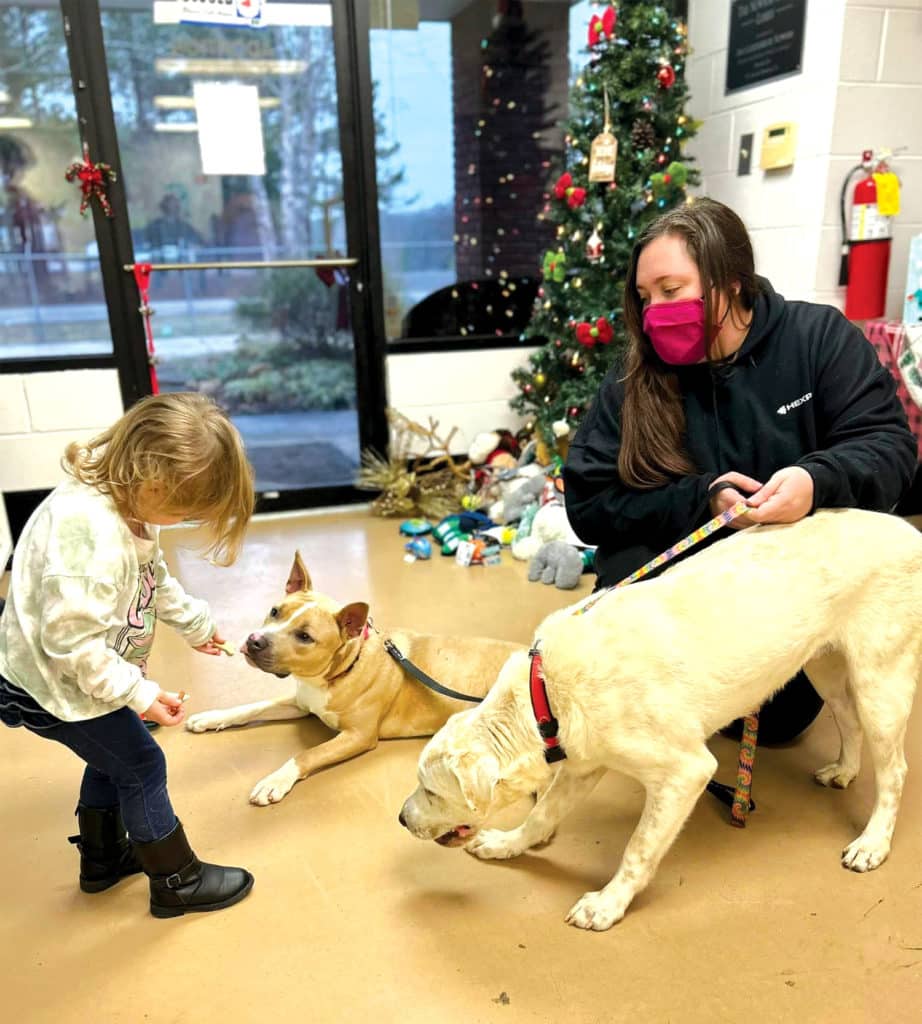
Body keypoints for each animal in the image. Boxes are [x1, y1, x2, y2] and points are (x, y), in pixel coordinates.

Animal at [185, 557, 524, 802]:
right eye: (275, 611)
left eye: (305, 636)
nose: (254, 641)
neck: (338, 672)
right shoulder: (301, 702)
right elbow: (252, 707)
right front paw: (212, 717)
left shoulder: (358, 736)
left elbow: (308, 754)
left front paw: (276, 779)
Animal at [399, 507, 922, 933]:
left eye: (431, 791)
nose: (402, 820)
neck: (544, 694)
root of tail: (908, 531)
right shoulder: (582, 766)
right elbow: (542, 813)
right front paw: (508, 844)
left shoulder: (685, 773)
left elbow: (639, 848)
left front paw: (607, 904)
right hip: (824, 666)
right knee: (848, 720)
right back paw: (844, 770)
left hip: (882, 678)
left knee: (894, 771)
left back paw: (872, 843)